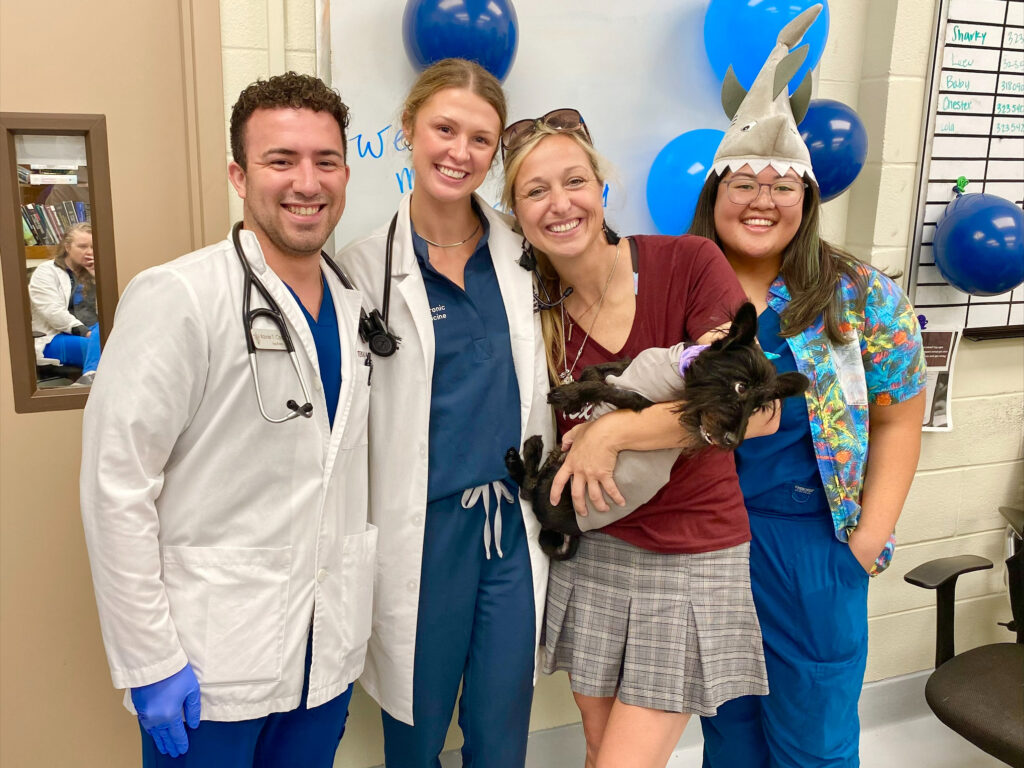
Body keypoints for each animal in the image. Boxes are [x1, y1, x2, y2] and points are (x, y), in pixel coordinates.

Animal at [503, 303, 806, 561]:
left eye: (758, 408)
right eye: (741, 387)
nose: (731, 442)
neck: (679, 367)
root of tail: (567, 532)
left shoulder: (641, 402)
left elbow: (605, 388)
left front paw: (569, 395)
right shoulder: (628, 366)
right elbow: (598, 370)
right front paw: (578, 397)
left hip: (553, 484)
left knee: (528, 491)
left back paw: (527, 453)